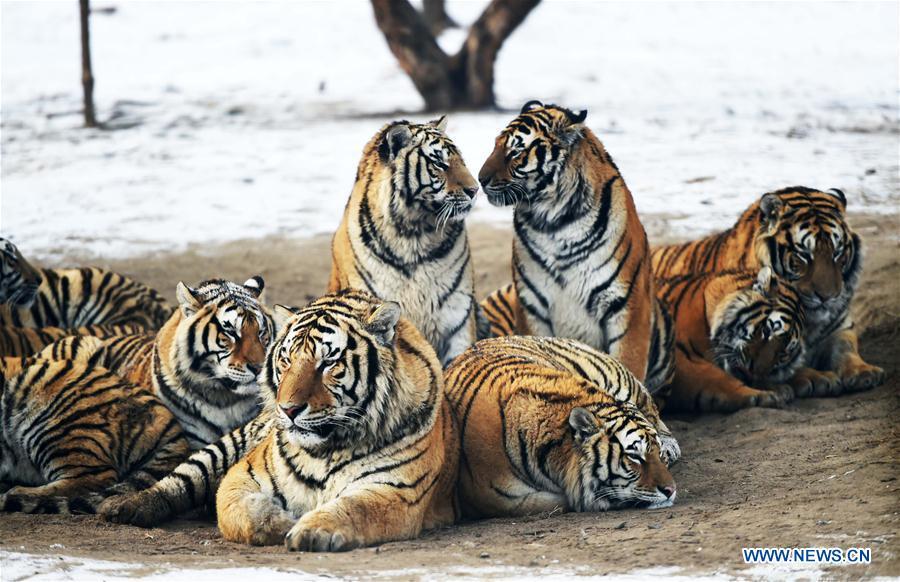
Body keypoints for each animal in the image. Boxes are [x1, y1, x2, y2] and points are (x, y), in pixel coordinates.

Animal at [477, 101, 675, 397]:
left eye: (516, 151)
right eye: (495, 146)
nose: (480, 179)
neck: (554, 223)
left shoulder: (627, 306)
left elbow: (629, 366)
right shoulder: (532, 306)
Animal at [651, 186, 884, 395]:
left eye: (838, 253)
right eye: (803, 255)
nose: (828, 297)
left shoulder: (839, 327)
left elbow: (845, 348)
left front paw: (864, 371)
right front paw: (816, 378)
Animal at [656, 267, 812, 412]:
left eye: (782, 353)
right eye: (767, 331)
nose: (753, 372)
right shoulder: (677, 358)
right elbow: (716, 378)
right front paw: (765, 395)